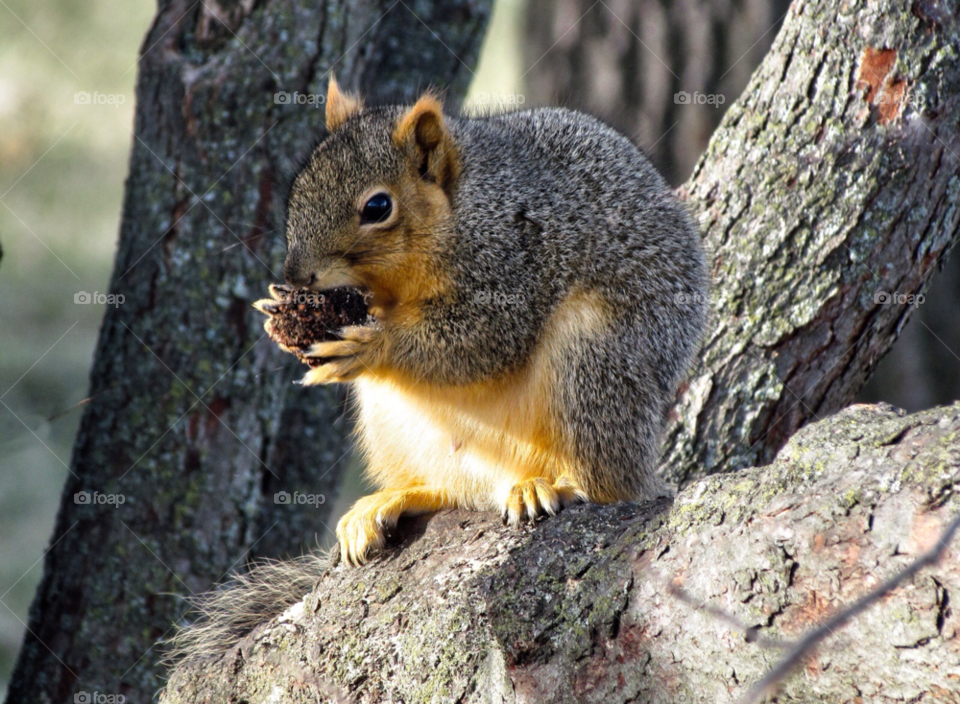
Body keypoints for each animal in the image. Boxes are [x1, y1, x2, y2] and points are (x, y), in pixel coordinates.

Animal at [276, 78, 704, 568]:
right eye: (297, 189)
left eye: (378, 206)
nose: (294, 275)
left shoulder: (513, 264)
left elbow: (482, 339)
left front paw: (372, 345)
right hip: (391, 422)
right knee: (453, 489)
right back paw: (395, 498)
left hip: (592, 361)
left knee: (606, 481)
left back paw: (556, 485)